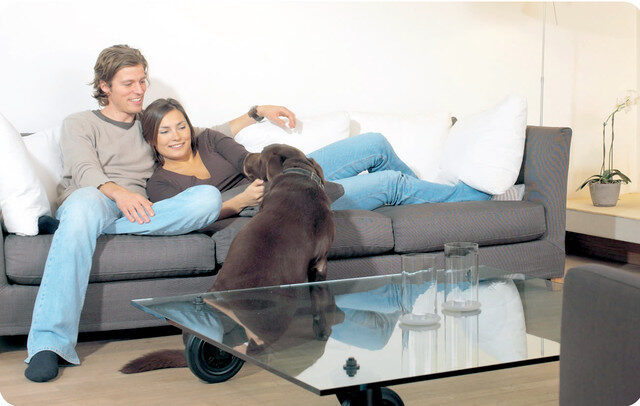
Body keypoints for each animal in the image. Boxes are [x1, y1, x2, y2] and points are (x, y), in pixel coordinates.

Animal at [121, 144, 338, 374]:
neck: (299, 175)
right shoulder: (320, 263)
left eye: (260, 156)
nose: (246, 158)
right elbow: (320, 305)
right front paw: (323, 334)